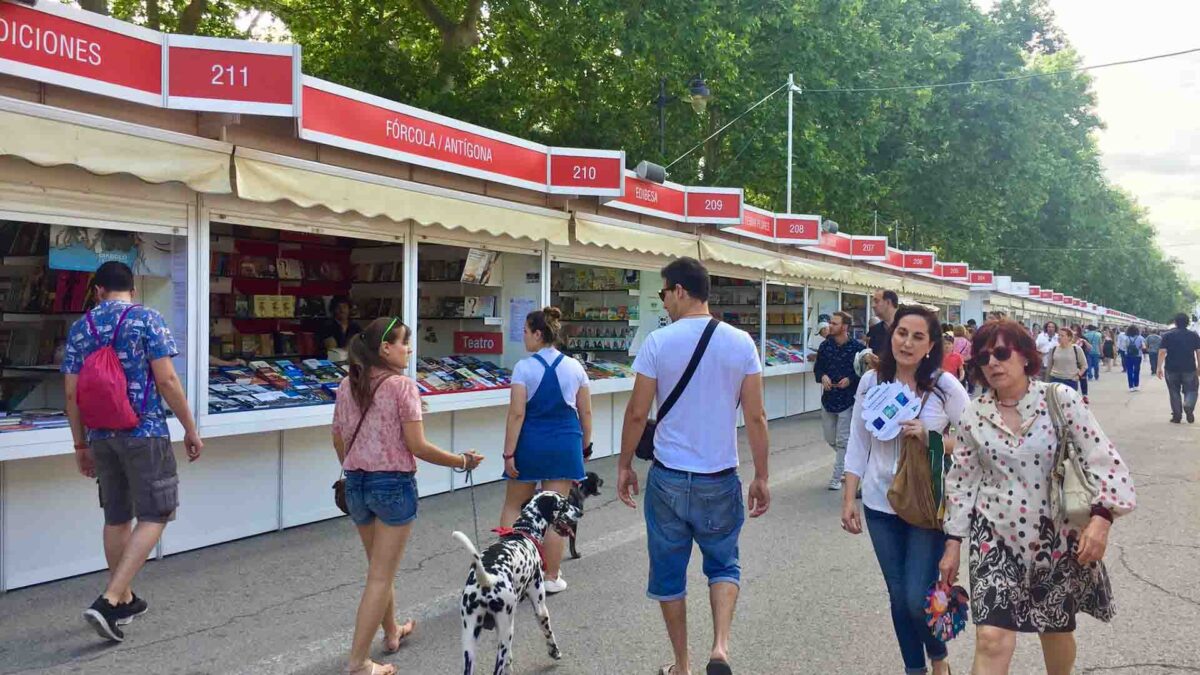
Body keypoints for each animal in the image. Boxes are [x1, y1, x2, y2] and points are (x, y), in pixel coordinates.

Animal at [451, 487, 580, 672]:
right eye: (563, 504)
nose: (580, 512)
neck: (524, 532)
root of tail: (486, 580)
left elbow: (509, 660)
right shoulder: (540, 607)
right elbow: (549, 633)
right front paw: (555, 652)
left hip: (470, 639)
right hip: (507, 631)